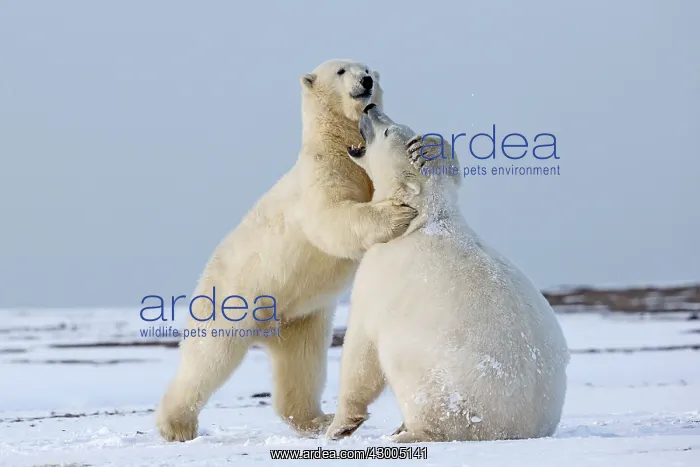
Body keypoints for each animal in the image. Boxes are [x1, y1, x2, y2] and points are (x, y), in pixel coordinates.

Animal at [155, 60, 418, 442]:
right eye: (342, 71)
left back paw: (318, 419)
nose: (366, 81)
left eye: (368, 68)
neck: (337, 144)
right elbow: (332, 216)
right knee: (209, 356)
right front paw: (397, 212)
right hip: (233, 297)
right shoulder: (321, 174)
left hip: (301, 319)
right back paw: (176, 426)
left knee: (302, 367)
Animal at [325, 104, 570, 443]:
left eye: (387, 130)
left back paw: (406, 433)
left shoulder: (377, 279)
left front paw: (338, 427)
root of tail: (519, 428)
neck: (420, 221)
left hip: (440, 378)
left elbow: (360, 352)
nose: (370, 107)